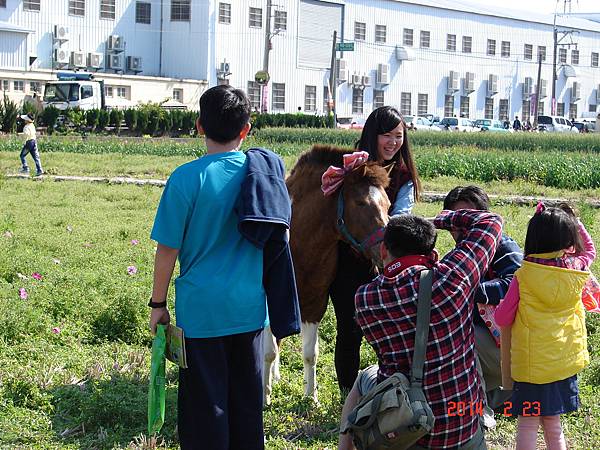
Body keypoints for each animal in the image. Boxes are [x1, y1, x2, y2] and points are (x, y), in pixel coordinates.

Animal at [264, 145, 392, 404]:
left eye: (388, 203)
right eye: (361, 202)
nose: (384, 252)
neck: (298, 242)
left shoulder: (315, 303)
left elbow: (309, 353)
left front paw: (311, 397)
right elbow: (268, 352)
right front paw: (265, 396)